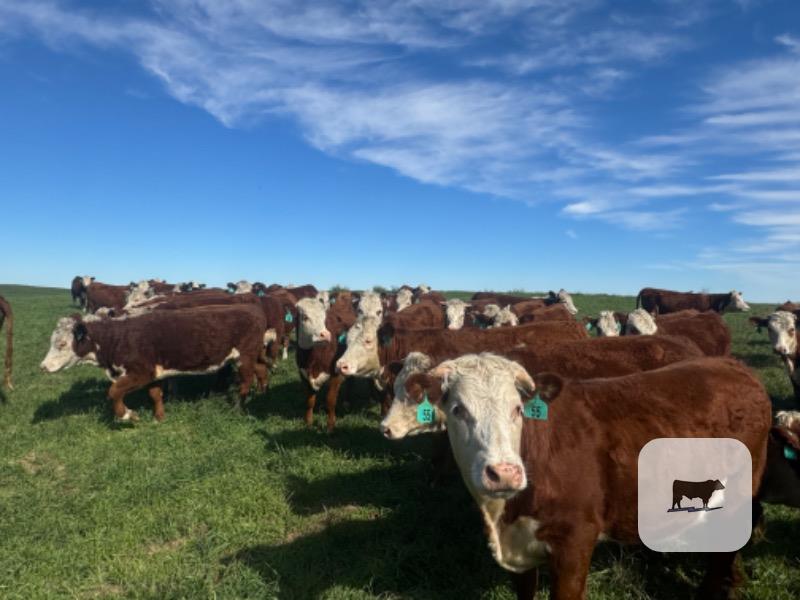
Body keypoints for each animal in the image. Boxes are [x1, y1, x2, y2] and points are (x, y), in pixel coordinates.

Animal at [40, 305, 270, 422]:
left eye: (61, 343)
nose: (42, 367)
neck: (117, 337)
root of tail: (253, 310)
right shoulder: (154, 373)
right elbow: (155, 395)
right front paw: (159, 417)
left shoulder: (141, 372)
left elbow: (114, 391)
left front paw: (128, 415)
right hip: (250, 356)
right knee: (261, 369)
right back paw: (262, 391)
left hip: (244, 357)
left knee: (245, 382)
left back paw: (238, 407)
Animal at [295, 293, 358, 431]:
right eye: (305, 317)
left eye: (324, 318)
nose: (325, 335)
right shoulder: (303, 374)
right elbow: (309, 401)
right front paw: (308, 423)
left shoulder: (336, 375)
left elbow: (330, 401)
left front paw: (330, 427)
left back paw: (347, 402)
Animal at [405, 353, 770, 599]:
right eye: (457, 410)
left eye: (518, 409)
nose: (504, 474)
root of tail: (733, 365)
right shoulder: (520, 552)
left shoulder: (576, 540)